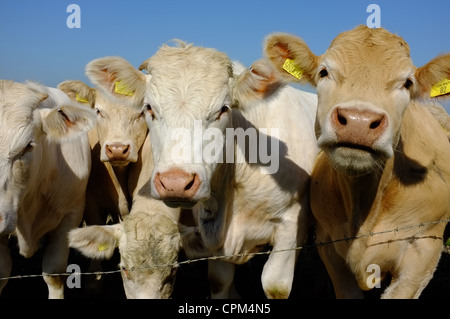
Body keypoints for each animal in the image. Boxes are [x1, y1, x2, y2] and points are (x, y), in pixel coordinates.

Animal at [81, 44, 320, 300]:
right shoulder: (213, 236)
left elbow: (276, 285)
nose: (175, 182)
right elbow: (219, 280)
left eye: (223, 109)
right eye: (148, 108)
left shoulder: (291, 224)